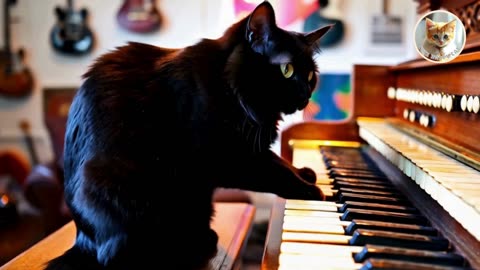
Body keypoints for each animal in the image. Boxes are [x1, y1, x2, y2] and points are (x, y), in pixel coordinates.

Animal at [47, 1, 332, 268]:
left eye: (310, 75)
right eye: (287, 70)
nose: (306, 96)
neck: (228, 86)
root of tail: (82, 239)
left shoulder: (252, 149)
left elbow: (282, 162)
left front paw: (306, 172)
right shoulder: (233, 157)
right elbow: (278, 173)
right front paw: (313, 190)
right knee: (121, 255)